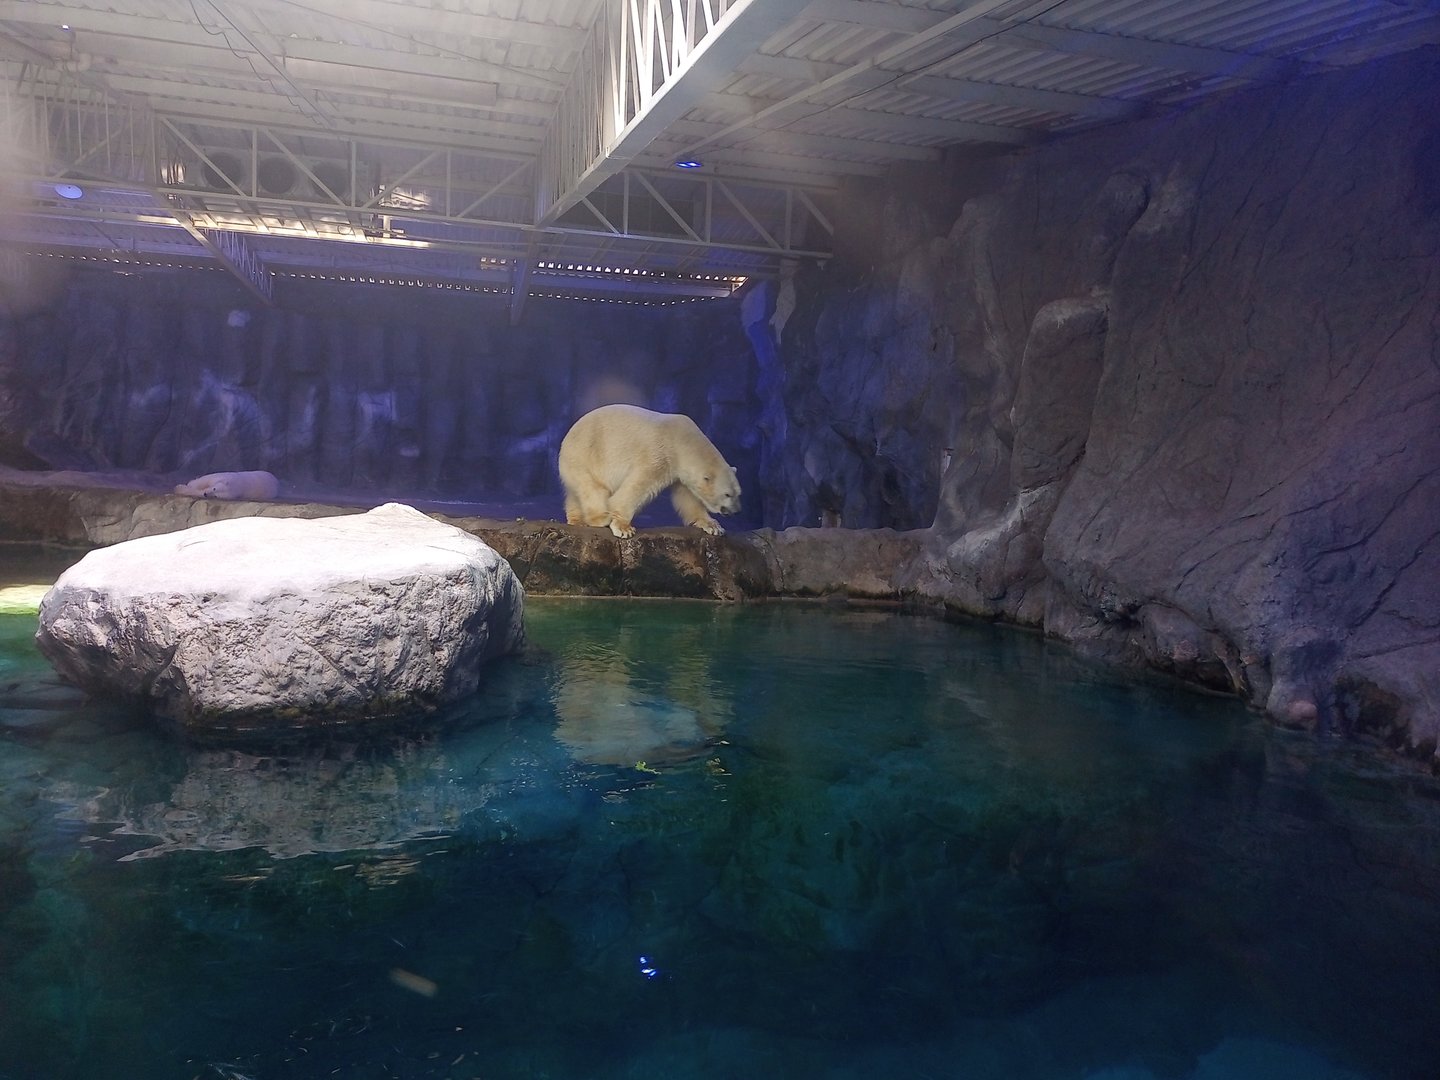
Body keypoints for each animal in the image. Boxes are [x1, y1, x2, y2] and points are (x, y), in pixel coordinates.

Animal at [557, 404, 741, 539]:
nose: (737, 511)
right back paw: (600, 518)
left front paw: (713, 526)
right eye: (727, 494)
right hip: (585, 455)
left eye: (739, 493)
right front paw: (624, 528)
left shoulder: (679, 472)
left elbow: (687, 499)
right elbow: (636, 488)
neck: (681, 440)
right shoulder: (659, 454)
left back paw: (577, 520)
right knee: (593, 489)